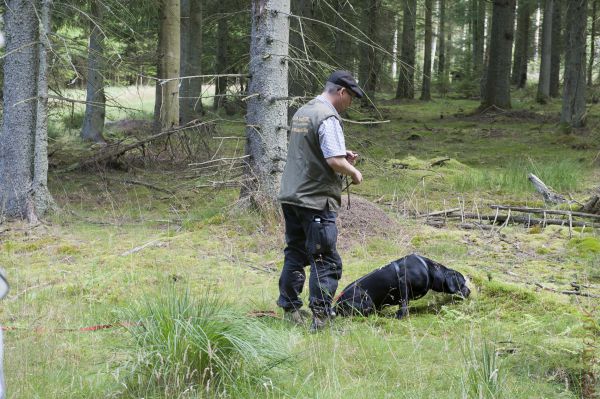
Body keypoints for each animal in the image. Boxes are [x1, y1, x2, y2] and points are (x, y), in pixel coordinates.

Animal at [332, 255, 468, 320]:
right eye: (463, 282)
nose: (470, 291)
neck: (428, 269)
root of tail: (337, 304)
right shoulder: (403, 285)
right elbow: (403, 304)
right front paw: (400, 316)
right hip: (367, 301)